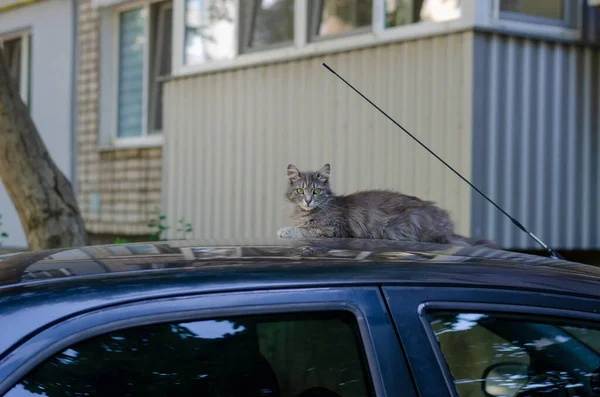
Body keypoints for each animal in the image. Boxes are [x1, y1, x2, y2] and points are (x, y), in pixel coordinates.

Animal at [278, 162, 490, 246]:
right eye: (300, 191)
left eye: (316, 191)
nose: (308, 200)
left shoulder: (334, 229)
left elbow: (304, 230)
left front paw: (284, 230)